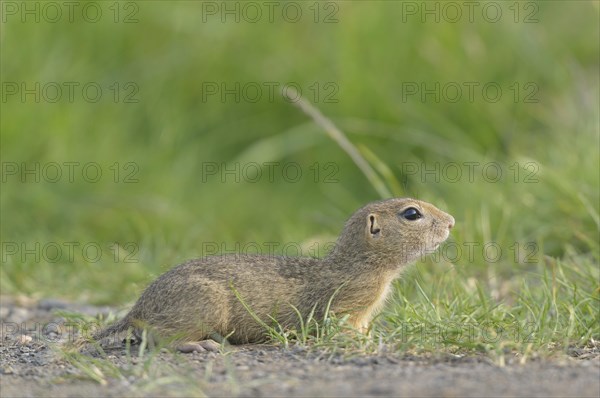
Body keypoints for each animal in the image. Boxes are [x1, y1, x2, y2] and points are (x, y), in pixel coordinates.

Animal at [91, 197, 452, 350]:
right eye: (411, 214)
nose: (451, 222)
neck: (361, 264)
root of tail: (139, 307)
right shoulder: (344, 305)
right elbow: (337, 328)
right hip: (203, 308)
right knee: (158, 338)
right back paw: (198, 346)